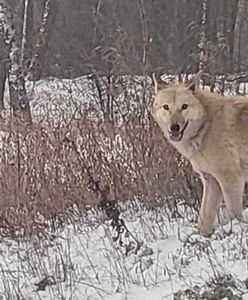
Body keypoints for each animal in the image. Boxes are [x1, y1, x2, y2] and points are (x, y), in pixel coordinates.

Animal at [152, 71, 248, 236]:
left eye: (184, 107)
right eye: (166, 107)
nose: (174, 127)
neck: (206, 126)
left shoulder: (231, 179)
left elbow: (234, 215)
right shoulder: (210, 181)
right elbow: (203, 219)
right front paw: (203, 237)